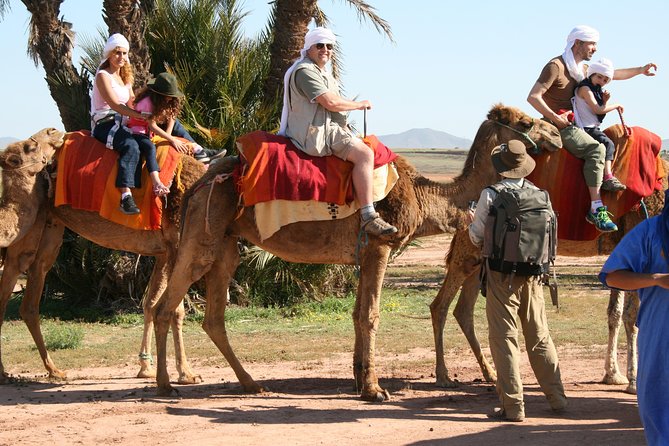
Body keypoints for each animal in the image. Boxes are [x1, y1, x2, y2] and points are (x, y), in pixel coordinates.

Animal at [0, 132, 208, 384]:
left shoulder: (164, 252)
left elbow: (151, 304)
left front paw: (146, 368)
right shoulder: (177, 245)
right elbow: (173, 309)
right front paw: (186, 373)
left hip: (48, 225)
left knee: (32, 290)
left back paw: (54, 370)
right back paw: (6, 372)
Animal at [150, 104, 563, 400]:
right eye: (526, 122)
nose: (558, 133)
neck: (423, 196)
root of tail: (201, 182)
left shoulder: (362, 254)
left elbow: (356, 313)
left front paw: (359, 378)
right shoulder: (380, 245)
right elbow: (371, 315)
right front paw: (375, 389)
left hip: (226, 244)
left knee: (212, 317)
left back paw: (251, 383)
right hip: (204, 234)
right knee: (166, 306)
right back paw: (167, 384)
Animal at [429, 136, 666, 395]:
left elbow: (615, 312)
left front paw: (613, 375)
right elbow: (633, 316)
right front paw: (633, 381)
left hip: (480, 258)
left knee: (463, 309)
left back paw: (489, 373)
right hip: (468, 249)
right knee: (441, 305)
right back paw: (443, 376)